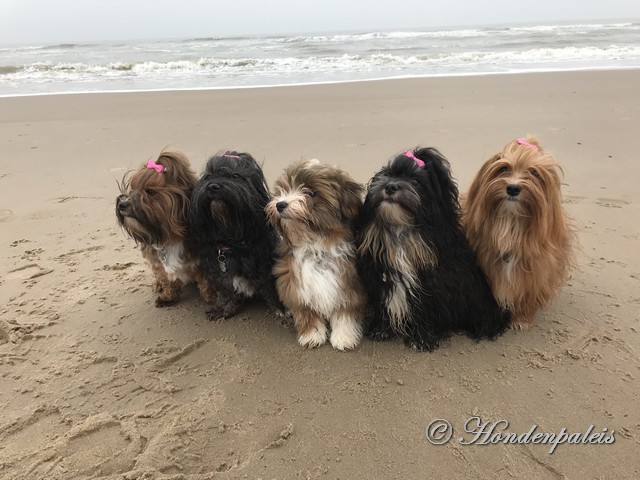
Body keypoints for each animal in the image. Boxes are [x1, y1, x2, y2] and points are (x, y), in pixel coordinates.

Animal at [188, 152, 282, 320]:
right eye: (208, 176)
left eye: (235, 176)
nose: (212, 186)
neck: (233, 244)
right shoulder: (218, 270)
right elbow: (226, 291)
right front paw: (224, 308)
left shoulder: (266, 265)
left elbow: (271, 288)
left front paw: (280, 308)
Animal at [264, 159, 364, 350]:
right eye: (284, 189)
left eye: (311, 193)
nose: (280, 204)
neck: (316, 246)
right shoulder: (294, 285)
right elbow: (306, 311)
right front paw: (312, 335)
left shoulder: (349, 284)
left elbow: (344, 312)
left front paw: (344, 336)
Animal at [356, 148, 510, 350]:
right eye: (388, 174)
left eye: (416, 182)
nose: (390, 187)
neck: (402, 230)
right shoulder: (382, 278)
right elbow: (384, 306)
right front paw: (381, 330)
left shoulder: (432, 284)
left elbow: (425, 311)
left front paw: (421, 339)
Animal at [460, 137, 576, 328]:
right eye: (503, 168)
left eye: (534, 173)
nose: (513, 188)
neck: (511, 224)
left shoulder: (535, 274)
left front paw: (521, 318)